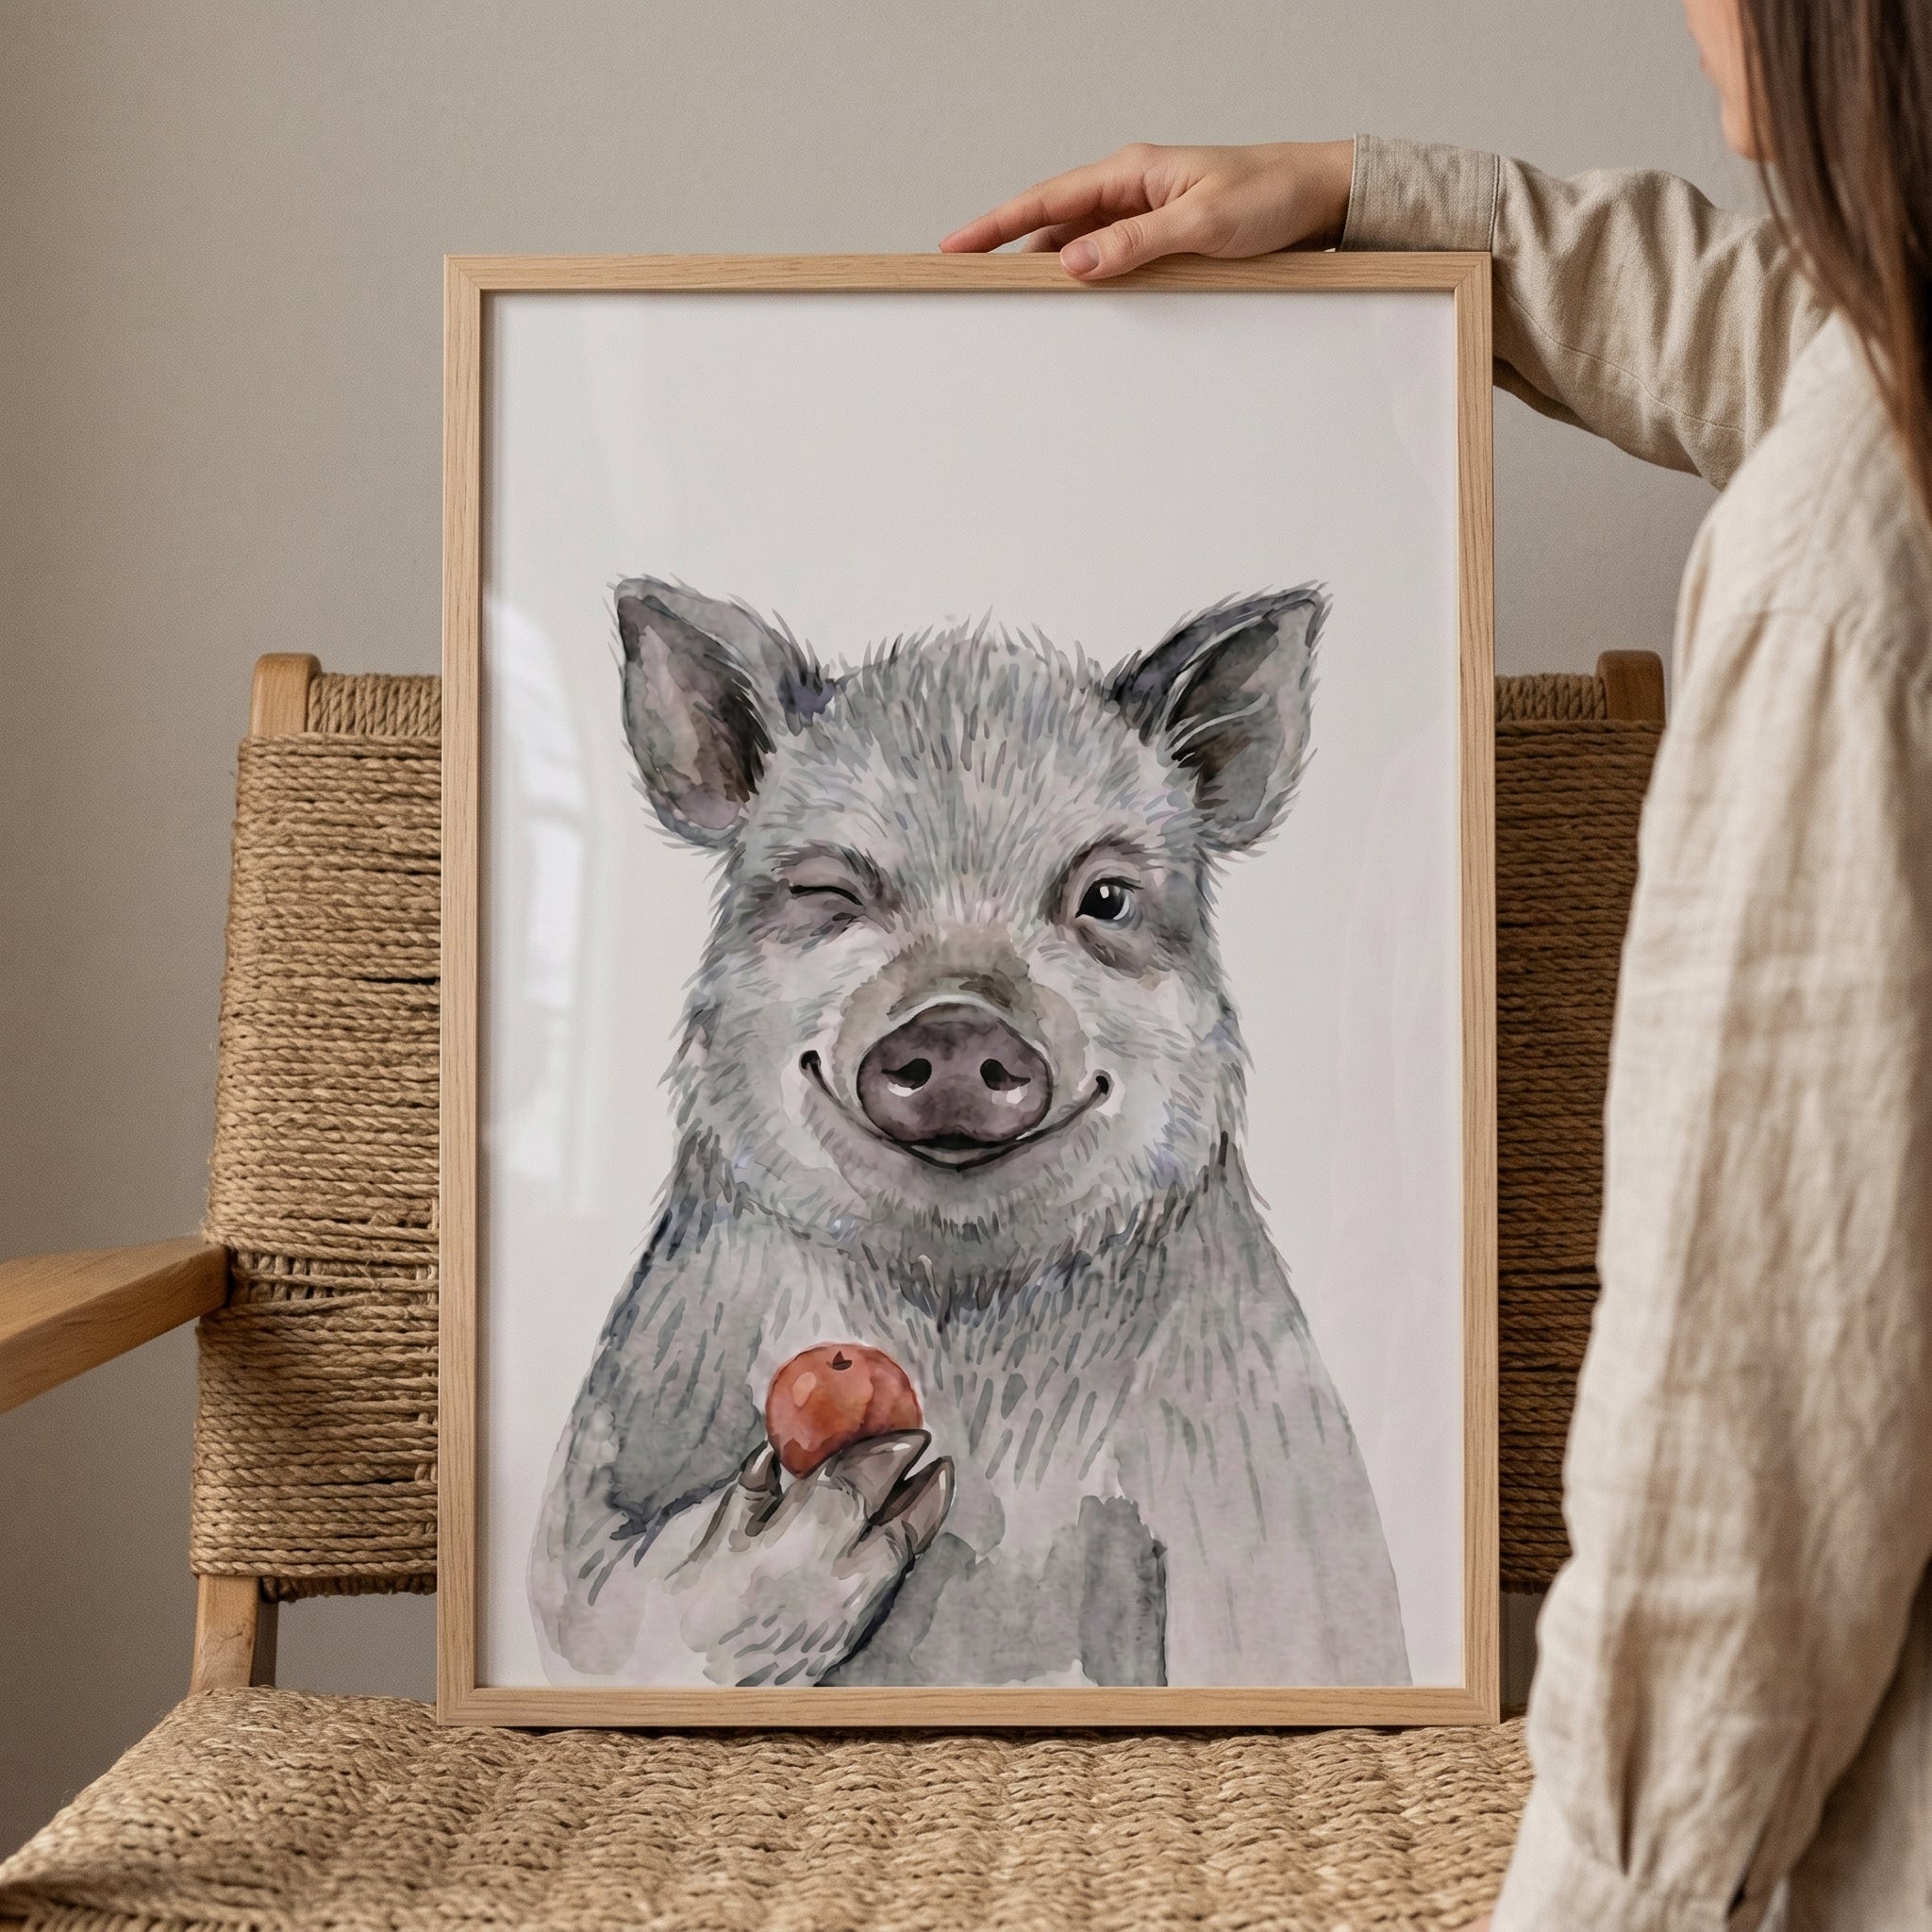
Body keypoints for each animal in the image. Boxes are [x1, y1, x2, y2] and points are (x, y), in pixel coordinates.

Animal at [528, 576, 1411, 1690]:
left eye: (1104, 897)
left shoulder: (1279, 1490)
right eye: (830, 892)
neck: (962, 1316)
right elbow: (602, 1617)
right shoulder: (603, 1466)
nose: (955, 1027)